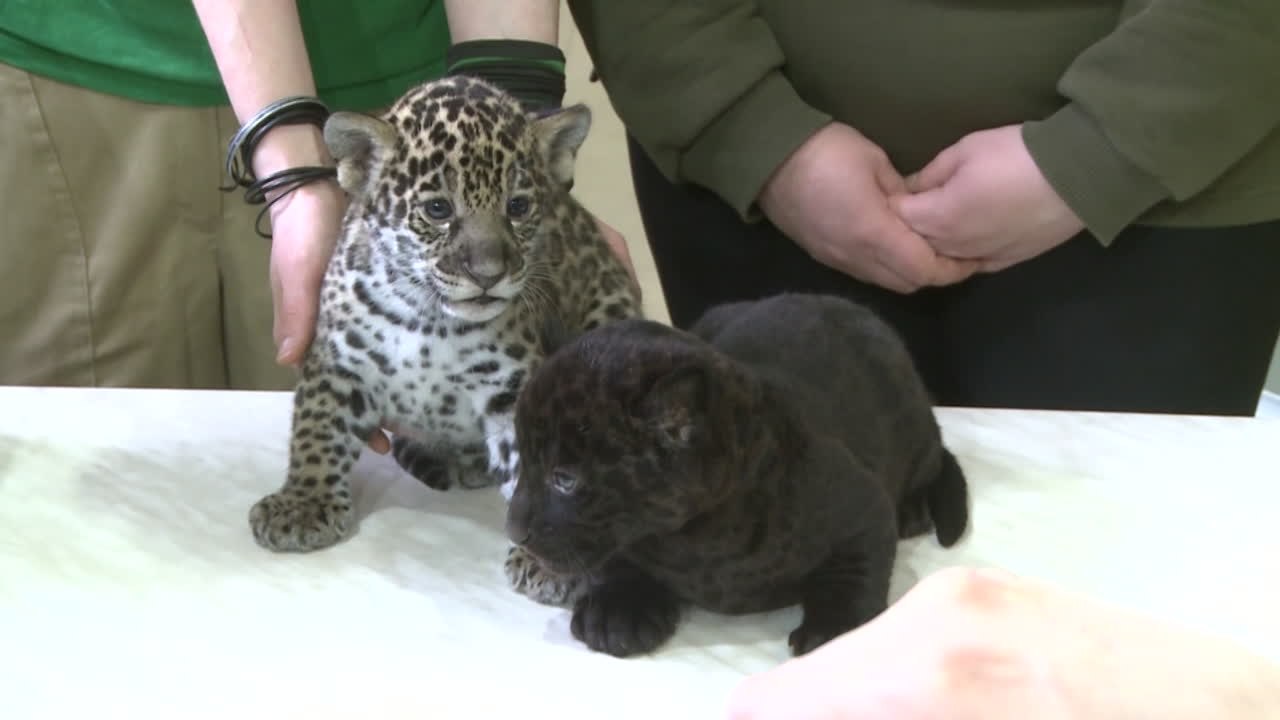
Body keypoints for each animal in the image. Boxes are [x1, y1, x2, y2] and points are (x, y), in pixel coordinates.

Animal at [246, 75, 642, 607]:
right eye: (438, 209)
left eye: (517, 207)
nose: (488, 274)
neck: (430, 323)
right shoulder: (335, 362)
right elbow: (316, 431)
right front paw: (303, 503)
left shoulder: (515, 391)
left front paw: (549, 557)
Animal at [504, 293, 970, 658]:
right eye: (524, 461)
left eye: (565, 479)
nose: (514, 530)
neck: (692, 540)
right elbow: (616, 559)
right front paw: (616, 611)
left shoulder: (863, 505)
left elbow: (854, 571)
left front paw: (834, 631)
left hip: (913, 427)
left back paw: (913, 512)